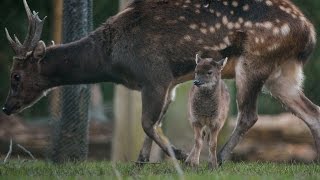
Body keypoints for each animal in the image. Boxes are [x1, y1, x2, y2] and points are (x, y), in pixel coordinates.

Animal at [3, 0, 320, 163]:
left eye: (16, 76)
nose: (6, 108)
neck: (114, 59)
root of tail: (308, 30)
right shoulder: (169, 82)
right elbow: (155, 122)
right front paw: (141, 161)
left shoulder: (154, 74)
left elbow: (147, 122)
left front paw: (179, 155)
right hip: (283, 75)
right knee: (313, 112)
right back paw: (315, 160)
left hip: (256, 60)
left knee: (249, 115)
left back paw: (218, 158)